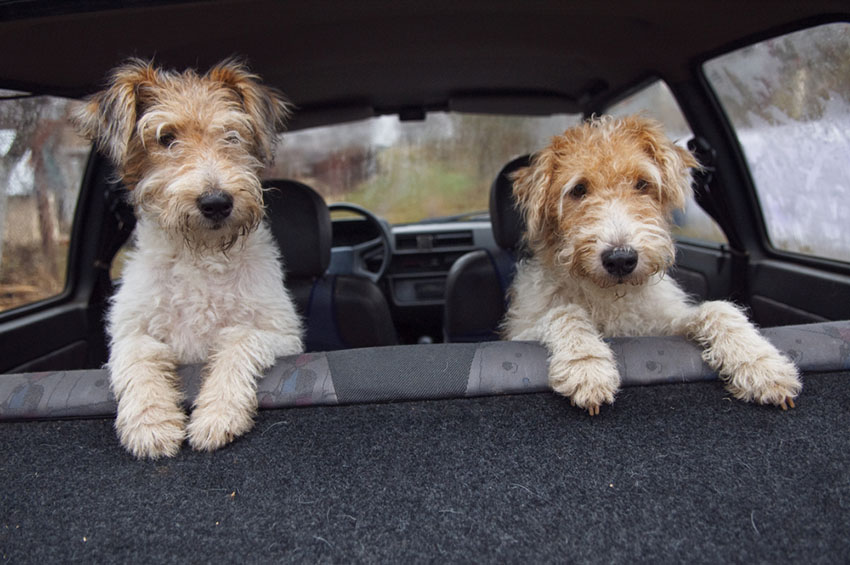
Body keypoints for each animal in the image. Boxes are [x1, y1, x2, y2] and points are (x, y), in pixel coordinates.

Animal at [74, 59, 304, 458]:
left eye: (232, 134)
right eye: (166, 137)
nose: (216, 202)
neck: (200, 254)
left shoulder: (280, 333)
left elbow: (238, 344)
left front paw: (217, 414)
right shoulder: (130, 332)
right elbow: (137, 360)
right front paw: (151, 424)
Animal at [500, 114, 800, 414]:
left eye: (642, 183)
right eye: (578, 189)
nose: (621, 259)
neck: (610, 295)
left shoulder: (661, 324)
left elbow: (717, 309)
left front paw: (760, 363)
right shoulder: (519, 331)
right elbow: (564, 313)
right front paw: (586, 365)